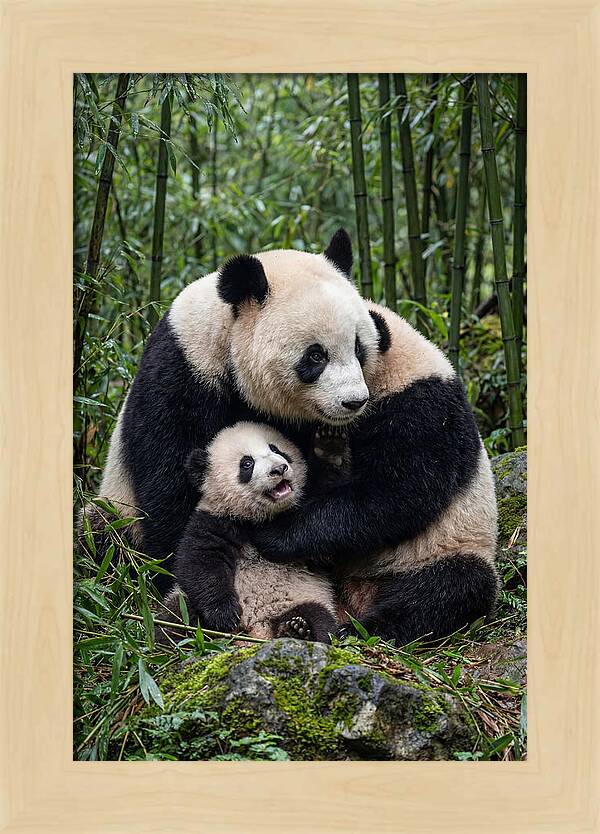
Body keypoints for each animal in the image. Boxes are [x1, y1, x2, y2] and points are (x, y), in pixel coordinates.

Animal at [159, 422, 338, 642]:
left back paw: (297, 630)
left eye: (276, 450)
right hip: (183, 601)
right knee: (174, 619)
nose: (279, 469)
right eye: (247, 463)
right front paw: (224, 615)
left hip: (304, 597)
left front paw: (329, 449)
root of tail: (257, 628)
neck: (257, 517)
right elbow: (200, 562)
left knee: (319, 619)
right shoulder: (214, 520)